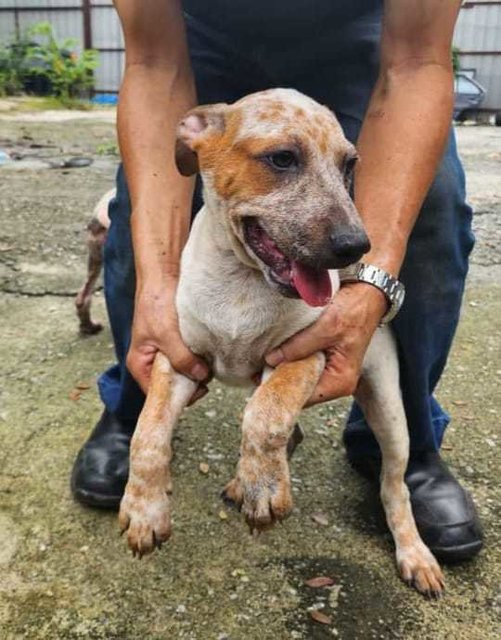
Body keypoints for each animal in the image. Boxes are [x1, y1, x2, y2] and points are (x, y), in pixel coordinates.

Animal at [115, 89, 444, 596]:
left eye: (349, 165)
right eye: (282, 158)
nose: (356, 246)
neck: (242, 281)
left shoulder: (303, 353)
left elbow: (265, 417)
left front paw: (265, 490)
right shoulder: (178, 359)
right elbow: (147, 434)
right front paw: (144, 510)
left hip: (389, 408)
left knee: (395, 484)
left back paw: (415, 553)